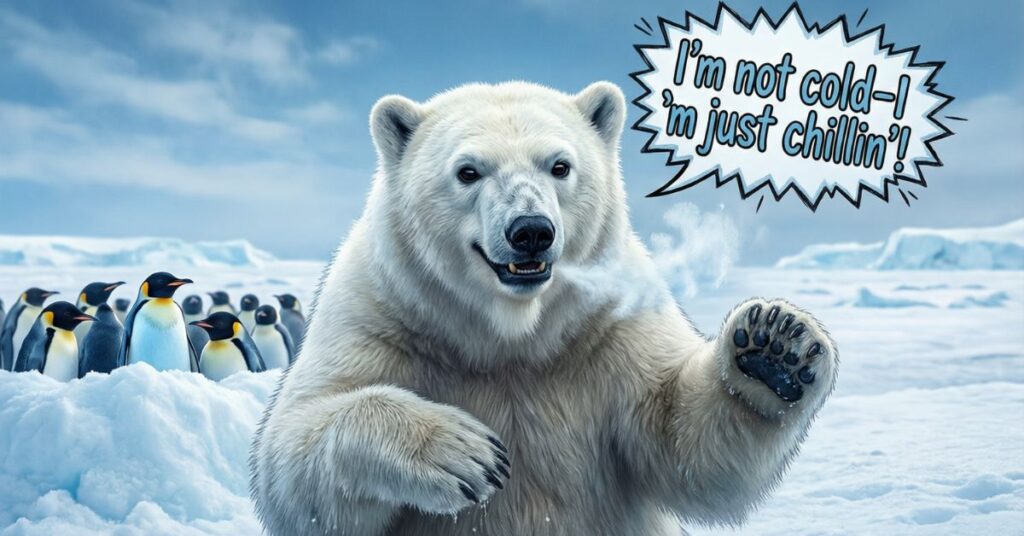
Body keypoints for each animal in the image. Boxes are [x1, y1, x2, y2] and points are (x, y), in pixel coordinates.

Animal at [249, 81, 838, 535]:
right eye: (468, 171)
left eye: (559, 165)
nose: (531, 230)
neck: (512, 337)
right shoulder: (384, 316)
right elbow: (293, 460)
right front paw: (468, 453)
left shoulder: (608, 327)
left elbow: (681, 443)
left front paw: (775, 346)